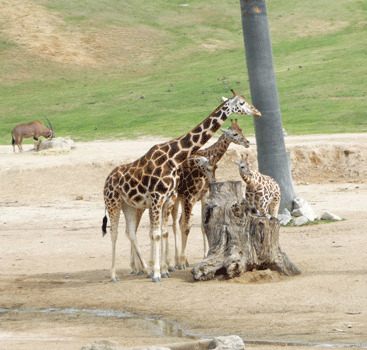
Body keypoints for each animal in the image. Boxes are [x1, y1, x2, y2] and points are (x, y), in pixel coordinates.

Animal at [171, 119, 252, 270]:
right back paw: (175, 263)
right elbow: (187, 227)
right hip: (176, 199)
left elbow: (203, 226)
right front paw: (182, 262)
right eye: (234, 133)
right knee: (173, 224)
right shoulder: (190, 196)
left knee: (178, 222)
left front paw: (205, 256)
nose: (247, 142)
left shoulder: (203, 196)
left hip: (180, 198)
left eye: (241, 130)